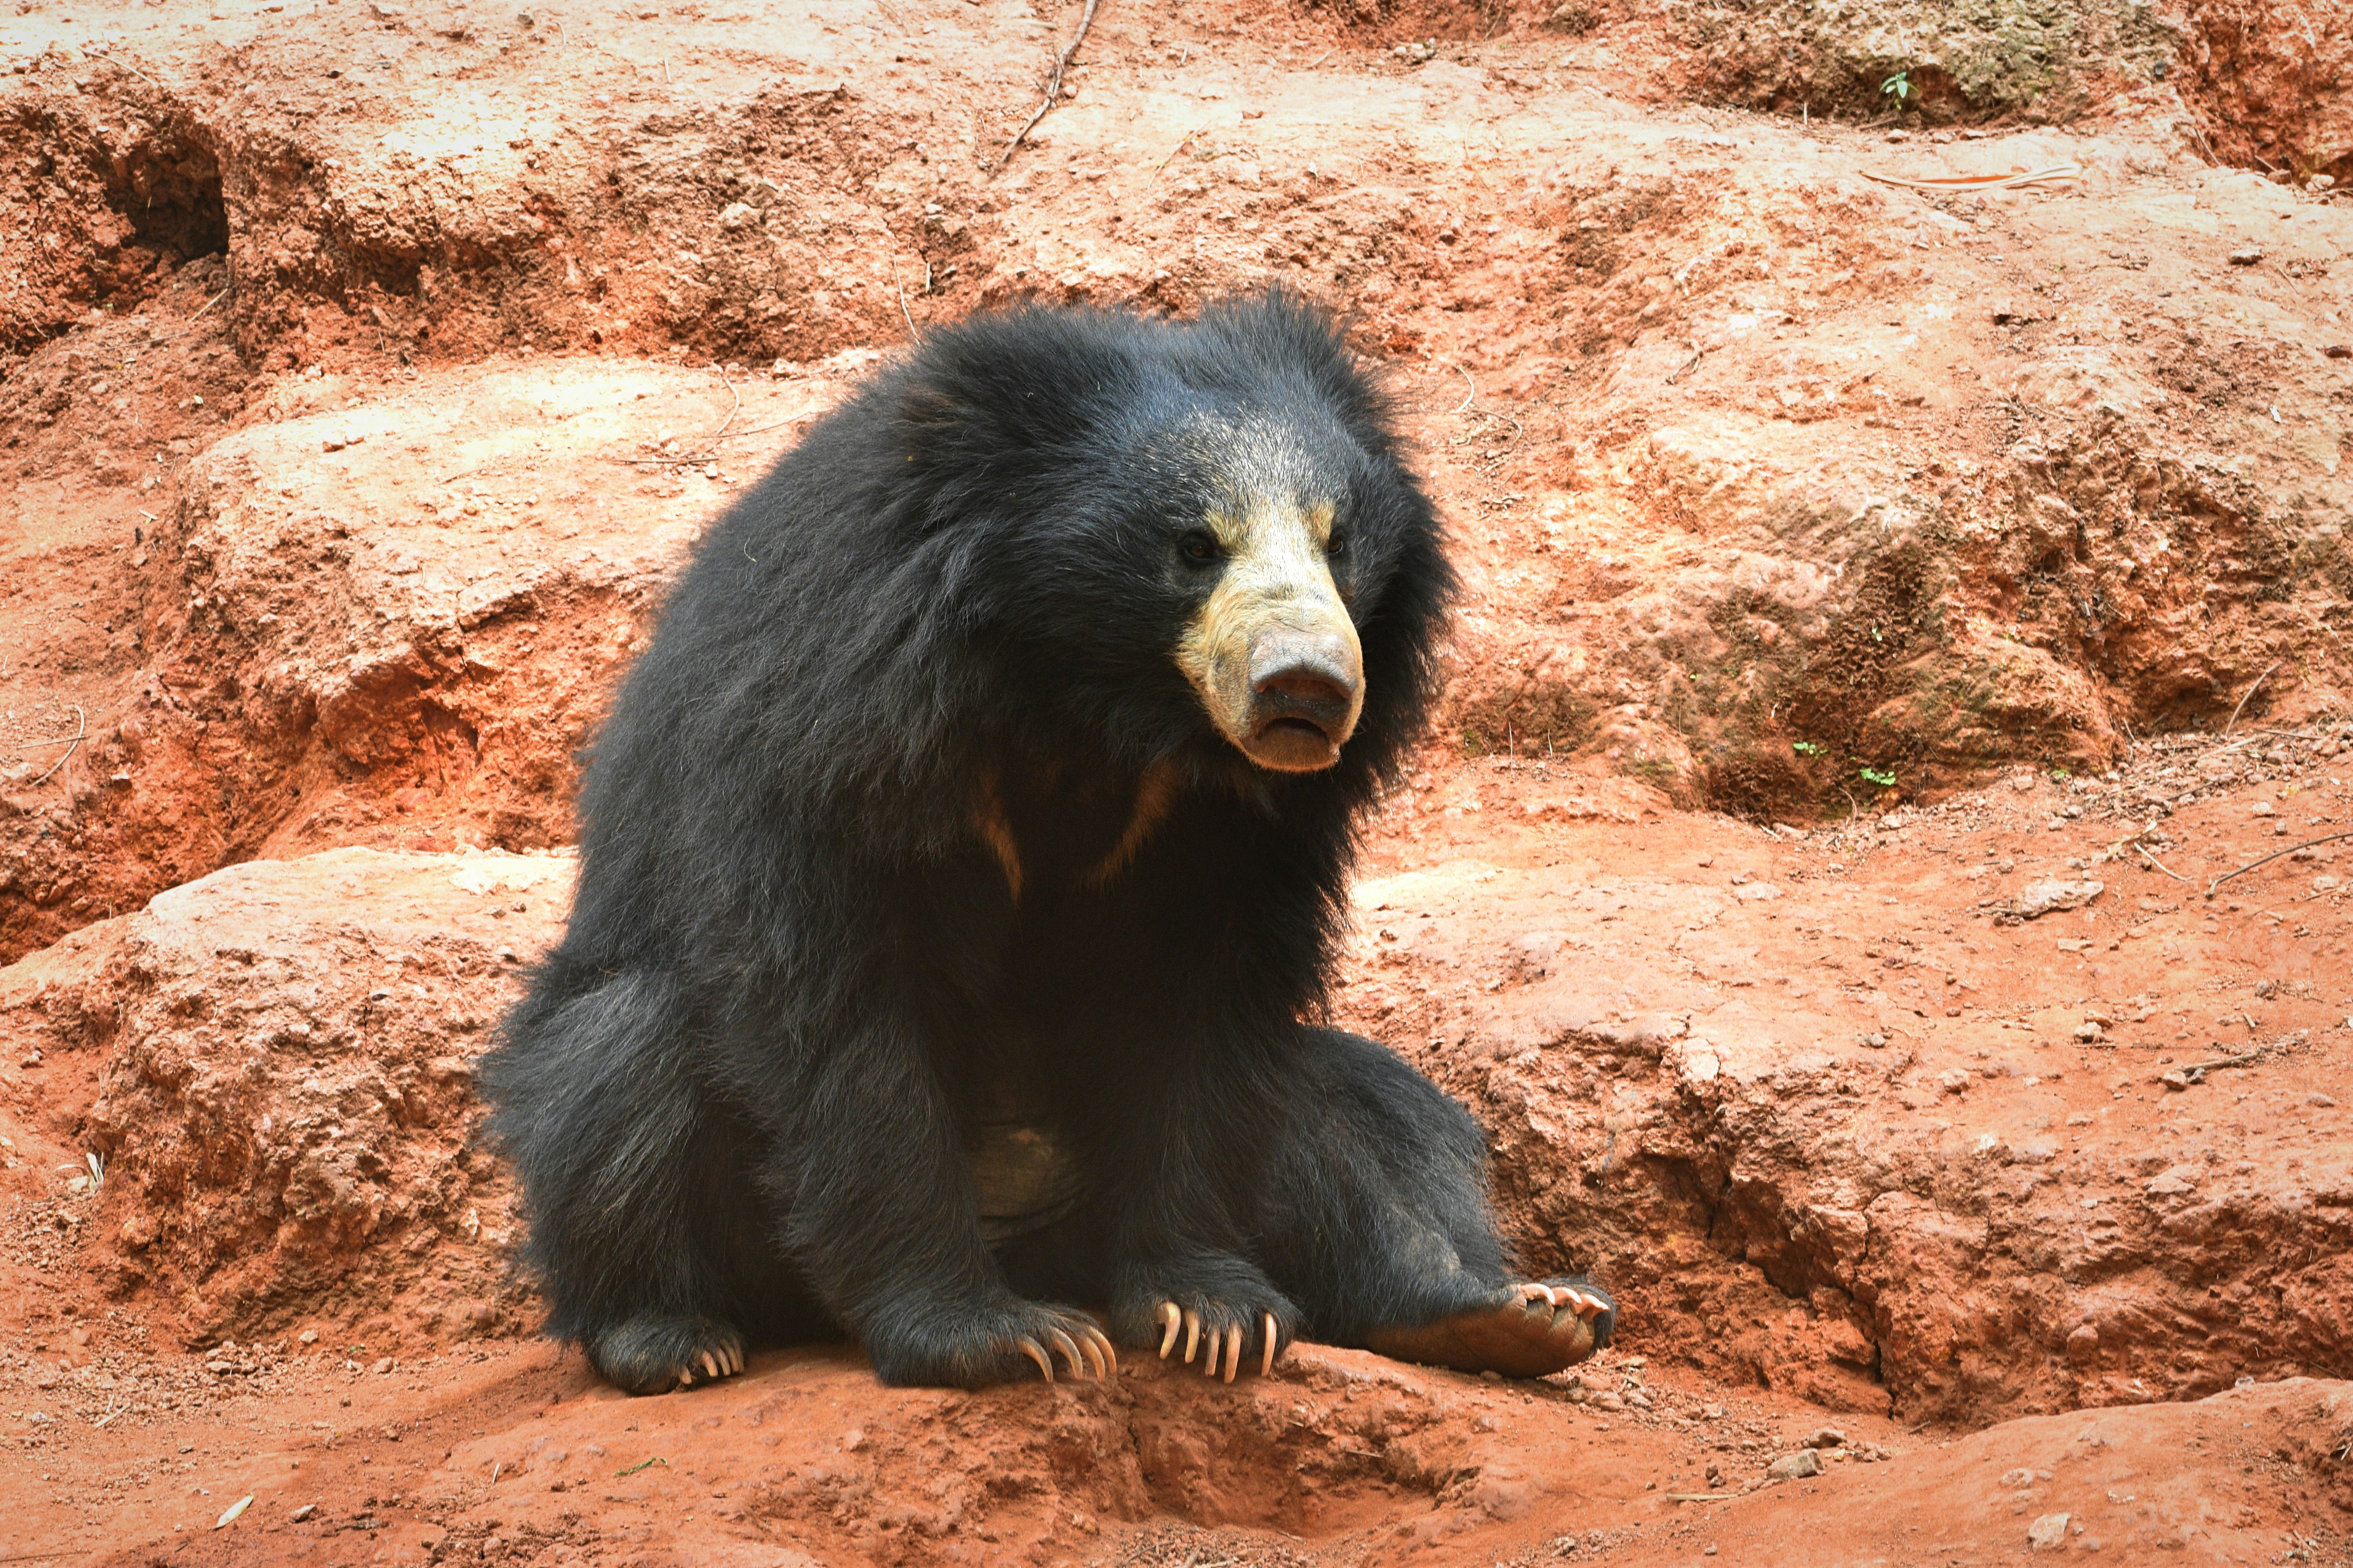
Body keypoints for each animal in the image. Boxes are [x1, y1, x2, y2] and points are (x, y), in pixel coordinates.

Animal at [482, 291, 1616, 1394]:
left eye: (1338, 541)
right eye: (1193, 545)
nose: (1305, 689)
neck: (1089, 692)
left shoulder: (1242, 827)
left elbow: (1208, 1012)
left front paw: (1209, 1310)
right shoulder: (832, 727)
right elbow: (835, 1015)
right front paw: (999, 1336)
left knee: (1379, 1113)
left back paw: (1508, 1311)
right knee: (621, 1064)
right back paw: (670, 1336)